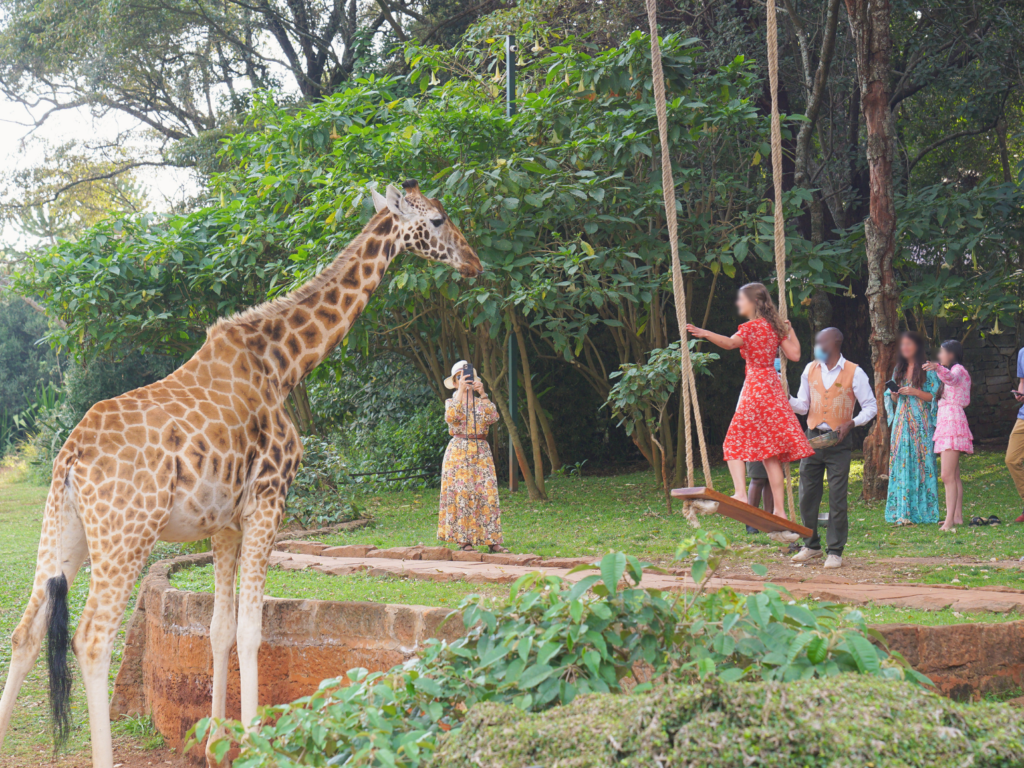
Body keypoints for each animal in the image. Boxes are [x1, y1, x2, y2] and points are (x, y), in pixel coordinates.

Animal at [0, 182, 483, 768]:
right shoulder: (269, 500)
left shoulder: (224, 524)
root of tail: (71, 455)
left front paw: (214, 743)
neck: (285, 362)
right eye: (437, 219)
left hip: (64, 531)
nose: (474, 263)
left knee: (25, 634)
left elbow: (219, 628)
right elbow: (254, 629)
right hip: (126, 534)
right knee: (92, 639)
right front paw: (256, 742)